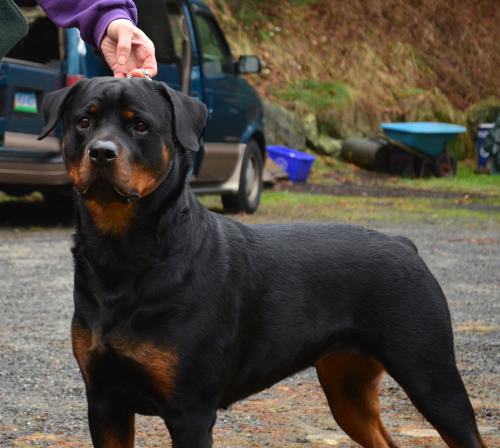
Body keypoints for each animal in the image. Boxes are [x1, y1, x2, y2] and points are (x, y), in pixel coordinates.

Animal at [39, 77, 485, 448]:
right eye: (83, 122)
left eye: (140, 126)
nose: (101, 152)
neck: (125, 254)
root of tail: (404, 244)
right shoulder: (104, 403)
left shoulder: (190, 412)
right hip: (347, 386)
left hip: (431, 377)